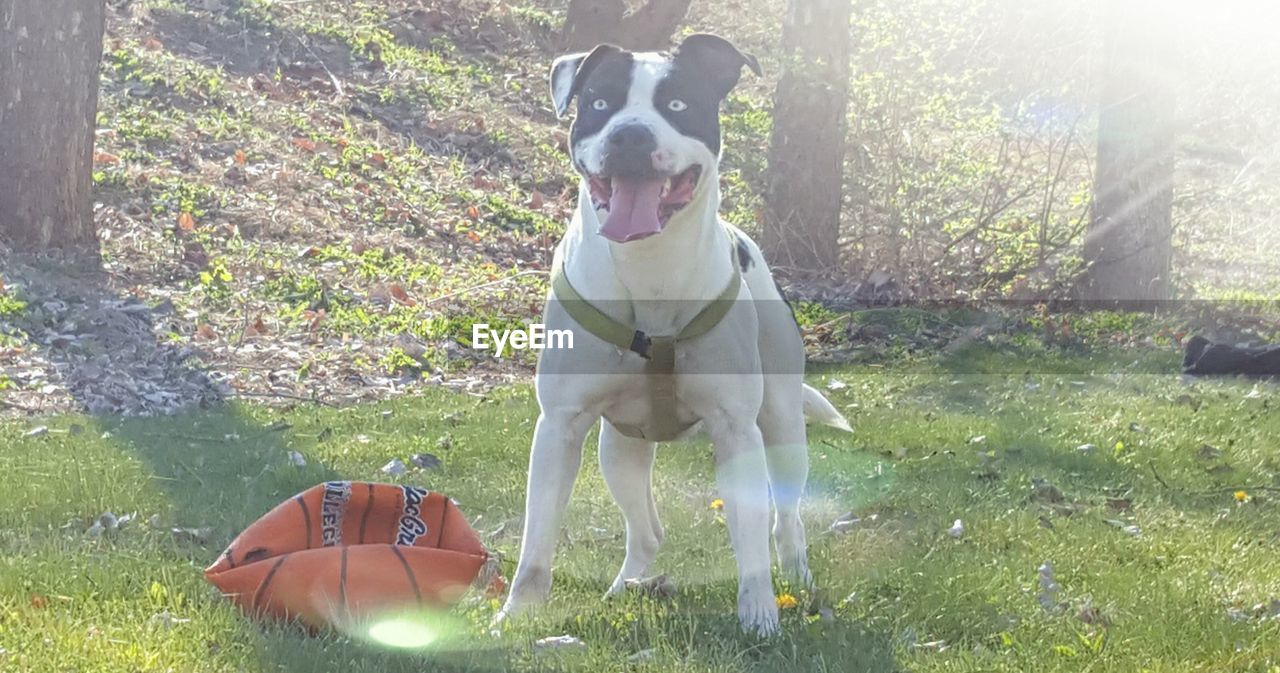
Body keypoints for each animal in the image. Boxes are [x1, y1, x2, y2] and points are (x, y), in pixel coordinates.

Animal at [496, 34, 849, 637]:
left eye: (678, 105)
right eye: (599, 103)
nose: (631, 135)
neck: (649, 264)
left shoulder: (736, 429)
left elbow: (750, 537)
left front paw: (759, 615)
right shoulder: (560, 427)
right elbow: (536, 540)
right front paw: (515, 615)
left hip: (782, 426)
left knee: (787, 519)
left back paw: (797, 579)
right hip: (619, 447)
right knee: (646, 530)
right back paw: (626, 587)